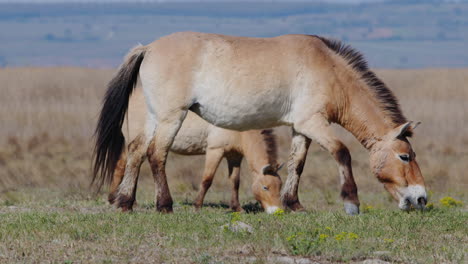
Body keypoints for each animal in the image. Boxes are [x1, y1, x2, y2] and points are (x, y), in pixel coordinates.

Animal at [92, 32, 428, 214]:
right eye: (405, 156)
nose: (421, 198)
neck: (329, 71)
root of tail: (148, 48)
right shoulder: (313, 122)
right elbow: (341, 152)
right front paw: (351, 203)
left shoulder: (300, 128)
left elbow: (297, 164)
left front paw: (293, 204)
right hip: (171, 116)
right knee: (156, 154)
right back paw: (164, 205)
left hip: (153, 117)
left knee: (136, 153)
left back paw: (125, 202)